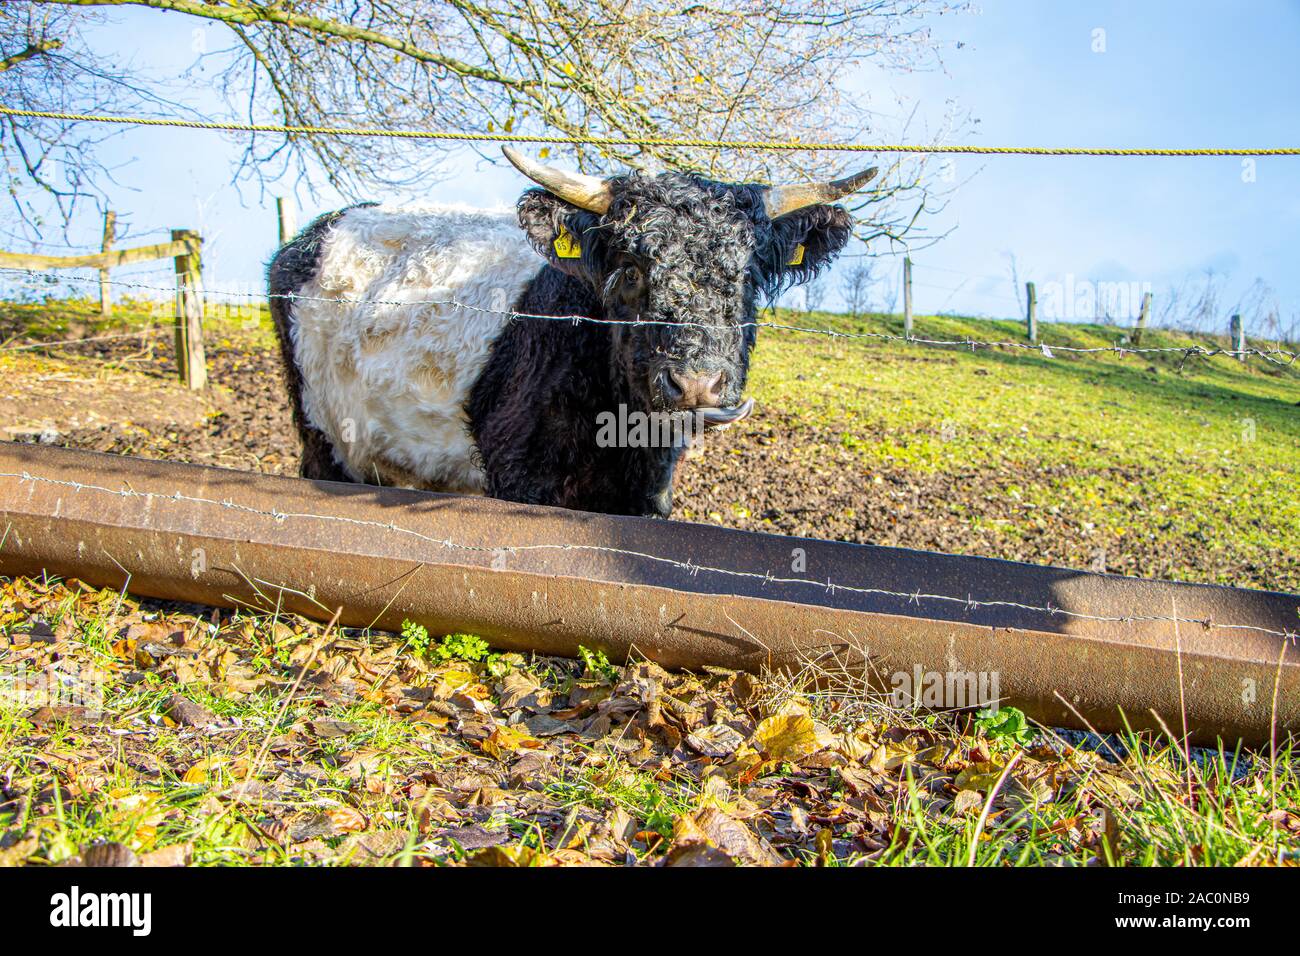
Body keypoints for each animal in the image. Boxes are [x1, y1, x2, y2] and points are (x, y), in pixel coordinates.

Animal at [267, 148, 876, 517]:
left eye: (746, 276)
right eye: (631, 269)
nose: (697, 385)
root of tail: (312, 234)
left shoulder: (646, 491)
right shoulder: (521, 475)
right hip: (321, 431)